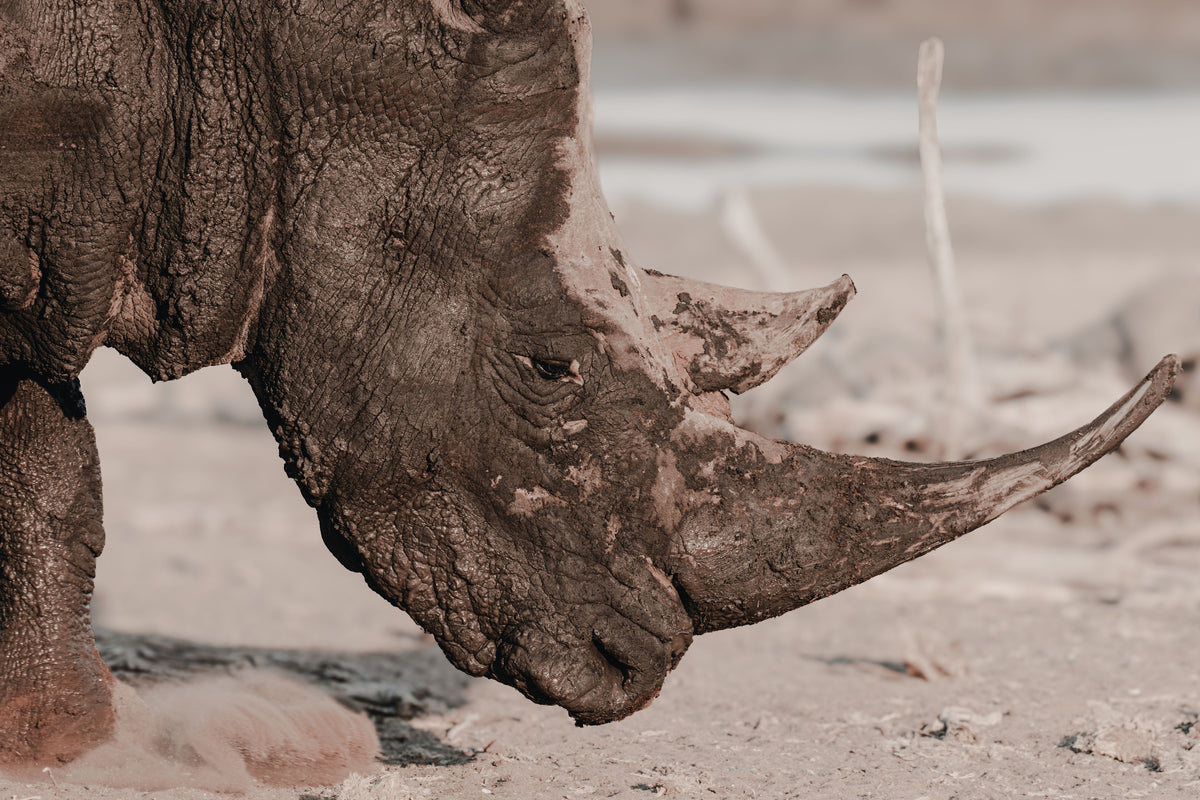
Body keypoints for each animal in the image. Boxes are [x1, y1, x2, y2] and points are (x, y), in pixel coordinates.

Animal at [0, 0, 1179, 766]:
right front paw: (75, 747)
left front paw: (64, 740)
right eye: (550, 367)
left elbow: (47, 468)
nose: (639, 664)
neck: (235, 61)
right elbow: (54, 463)